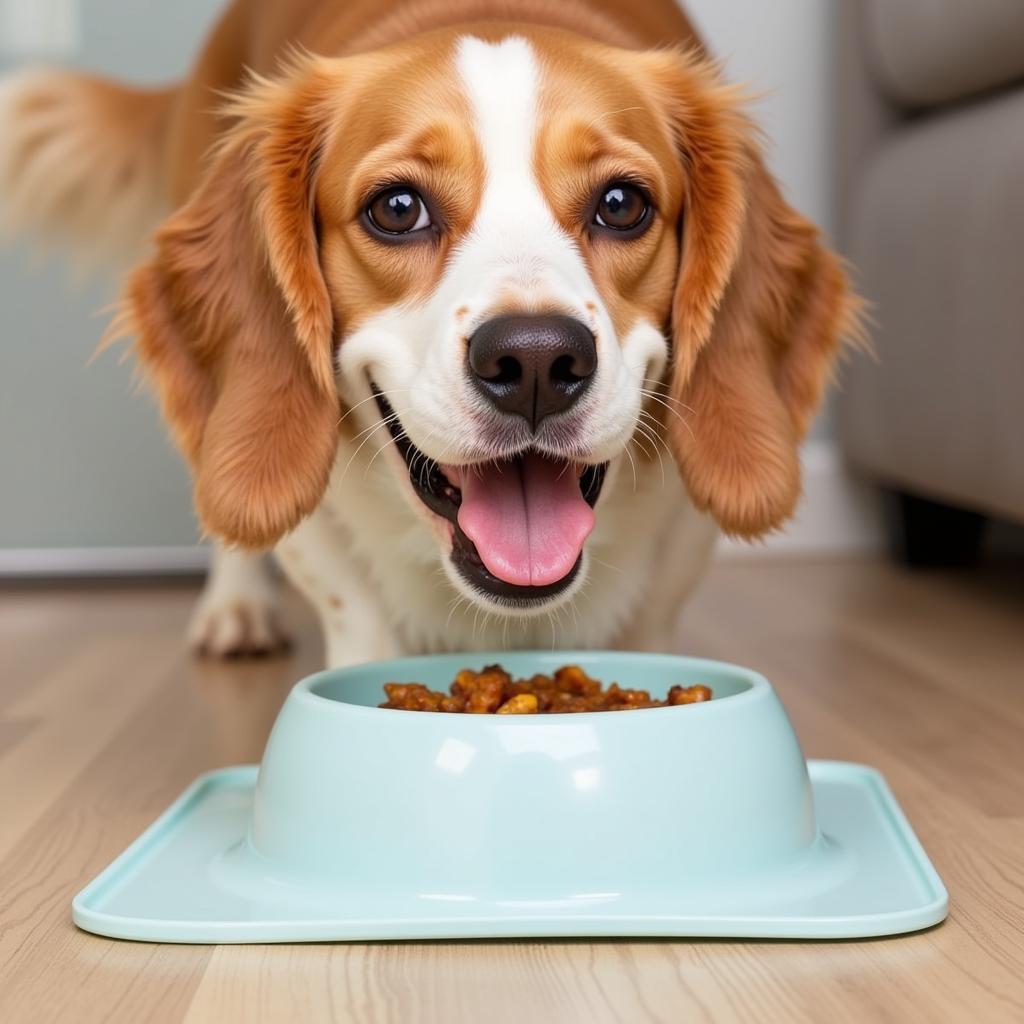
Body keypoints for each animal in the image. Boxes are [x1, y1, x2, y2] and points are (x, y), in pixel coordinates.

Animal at [2, 0, 856, 667]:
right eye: (397, 208)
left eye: (622, 204)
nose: (536, 360)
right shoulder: (321, 532)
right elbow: (348, 604)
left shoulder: (680, 535)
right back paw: (236, 606)